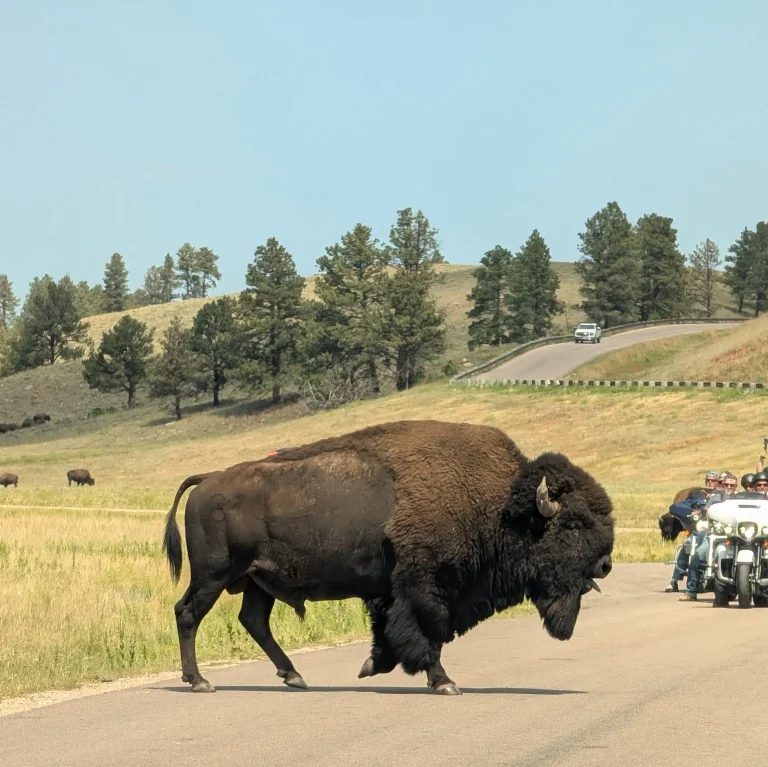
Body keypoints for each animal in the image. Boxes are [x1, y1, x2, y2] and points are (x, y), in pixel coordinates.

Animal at [163, 419, 615, 695]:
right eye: (573, 524)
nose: (606, 564)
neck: (500, 505)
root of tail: (208, 480)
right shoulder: (425, 589)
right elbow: (429, 632)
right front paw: (444, 682)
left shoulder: (394, 593)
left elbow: (393, 634)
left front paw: (371, 665)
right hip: (214, 575)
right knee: (188, 613)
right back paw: (199, 681)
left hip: (259, 580)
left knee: (253, 620)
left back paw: (294, 676)